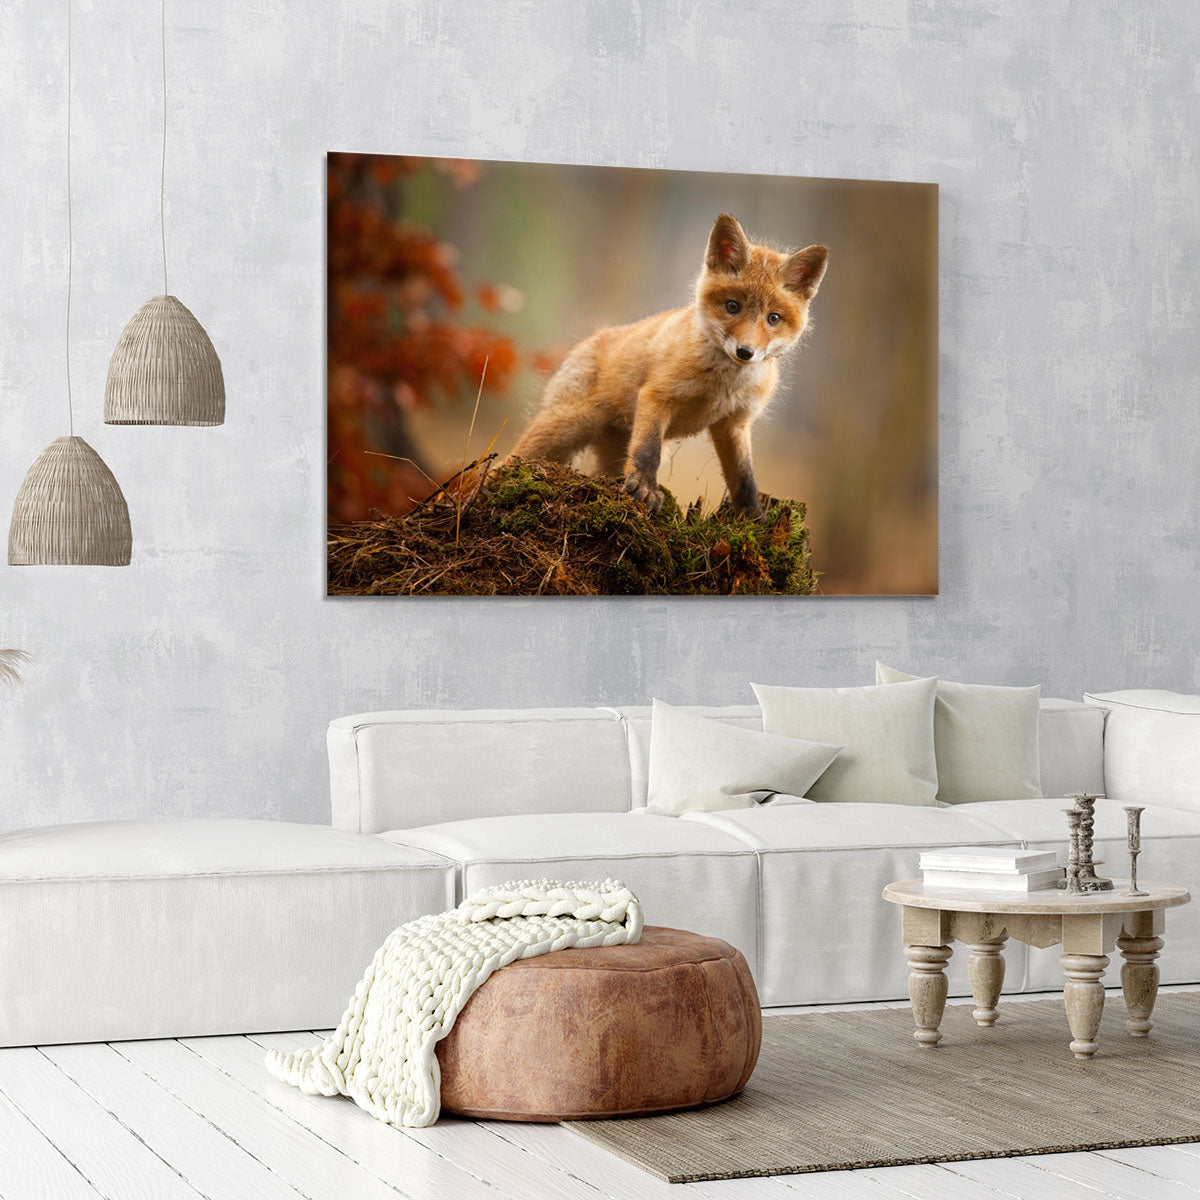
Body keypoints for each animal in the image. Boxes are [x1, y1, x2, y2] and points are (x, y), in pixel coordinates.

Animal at [511, 212, 828, 516]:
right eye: (732, 306)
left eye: (773, 318)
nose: (745, 351)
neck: (723, 385)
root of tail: (588, 340)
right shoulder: (658, 395)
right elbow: (648, 451)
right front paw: (645, 488)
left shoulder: (734, 423)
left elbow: (745, 480)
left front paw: (753, 519)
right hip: (565, 427)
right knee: (513, 458)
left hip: (609, 451)